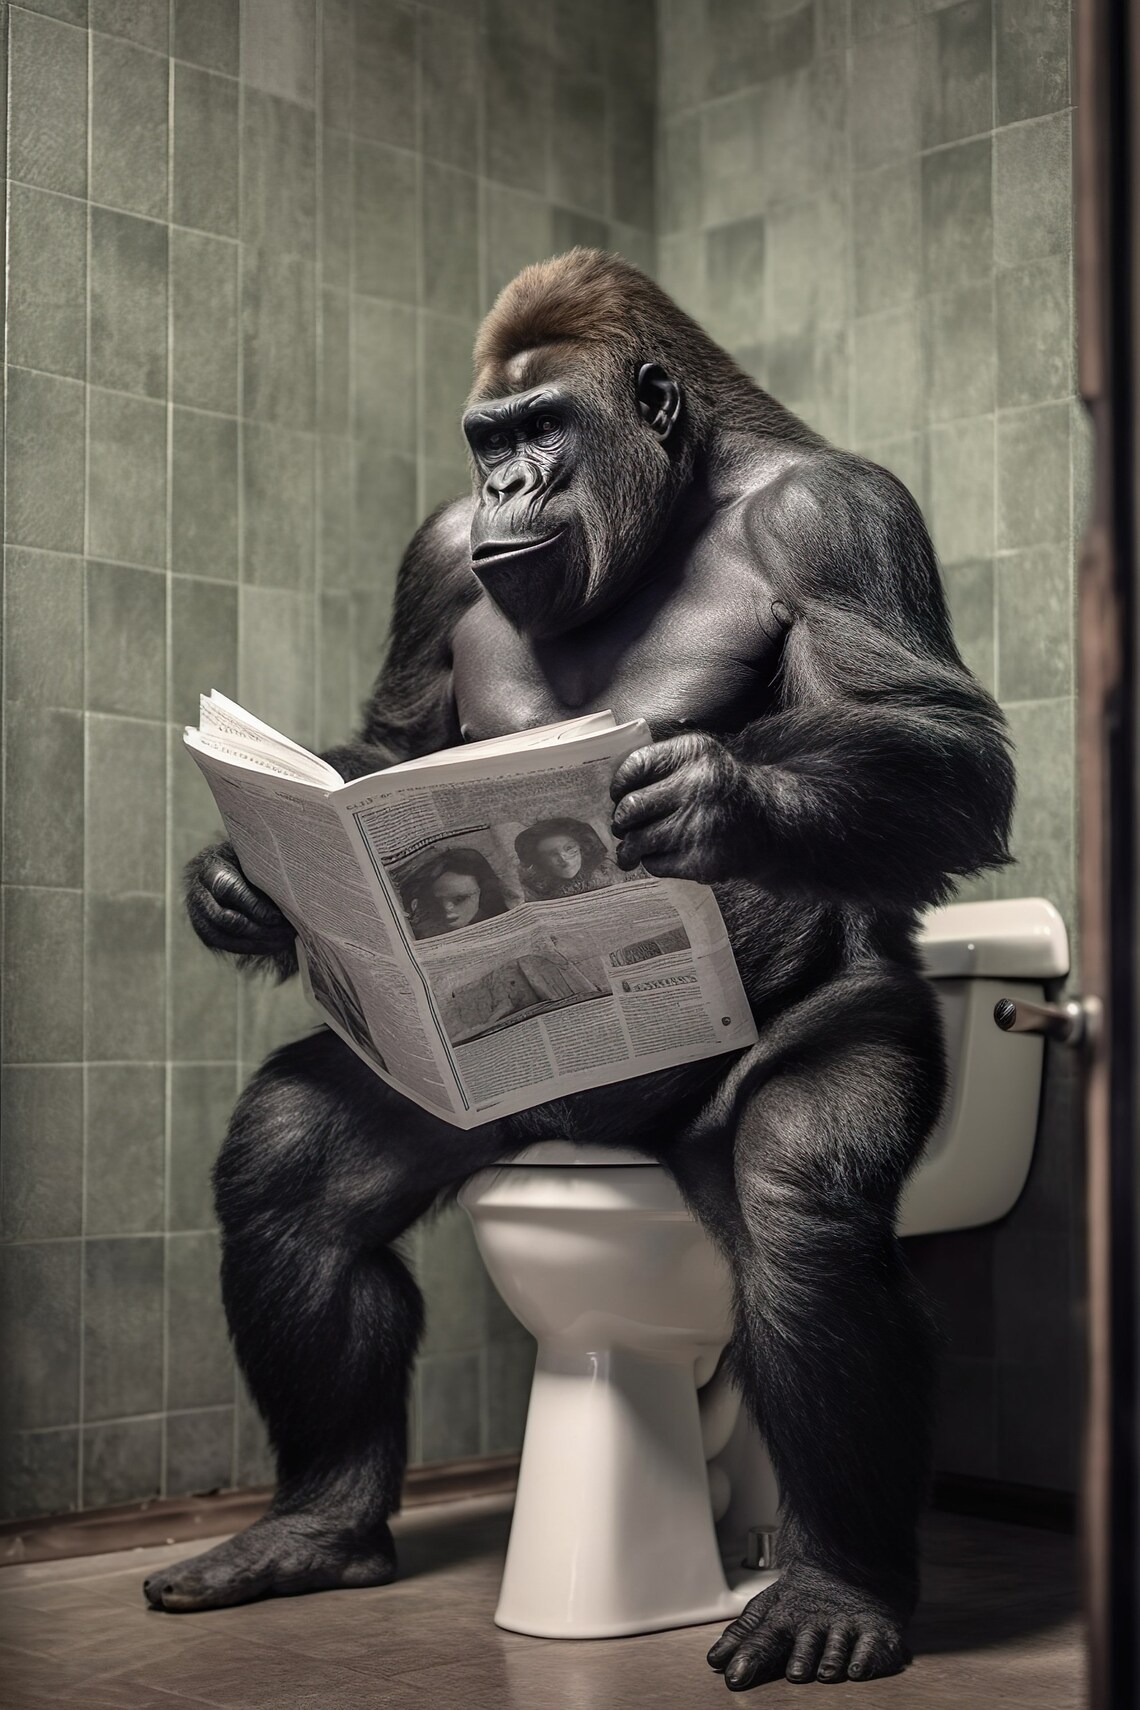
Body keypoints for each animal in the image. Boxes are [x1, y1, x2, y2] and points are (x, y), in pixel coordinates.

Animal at [157, 250, 1013, 1692]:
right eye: (486, 441)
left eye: (543, 425)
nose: (509, 486)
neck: (681, 502)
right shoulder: (435, 555)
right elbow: (398, 740)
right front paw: (241, 881)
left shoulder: (842, 517)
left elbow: (936, 730)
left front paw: (722, 798)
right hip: (504, 1131)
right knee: (291, 1182)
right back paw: (318, 1519)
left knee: (801, 1212)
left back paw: (835, 1585)